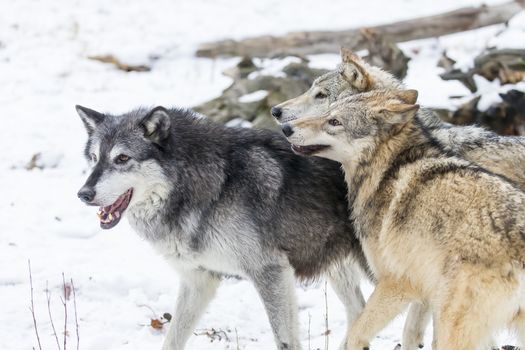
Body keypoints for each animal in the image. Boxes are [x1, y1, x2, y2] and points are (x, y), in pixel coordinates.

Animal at [74, 105, 368, 350]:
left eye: (122, 158)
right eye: (94, 158)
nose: (83, 194)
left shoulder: (271, 272)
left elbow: (285, 340)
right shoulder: (198, 280)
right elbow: (172, 340)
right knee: (360, 313)